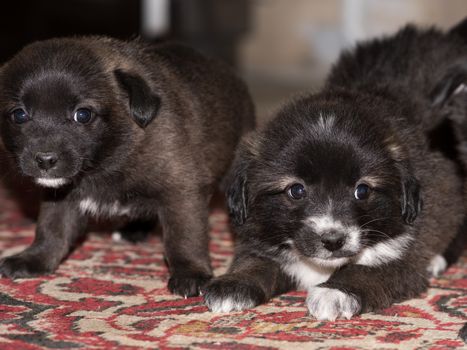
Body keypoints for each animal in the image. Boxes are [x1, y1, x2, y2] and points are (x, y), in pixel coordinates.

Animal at [0, 37, 256, 296]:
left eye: (83, 115)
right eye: (19, 115)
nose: (45, 159)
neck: (107, 160)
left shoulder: (181, 191)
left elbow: (184, 237)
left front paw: (191, 273)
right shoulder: (60, 196)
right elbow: (51, 230)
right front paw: (35, 259)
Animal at [204, 20, 467, 318]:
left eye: (362, 191)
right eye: (296, 190)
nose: (332, 241)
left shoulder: (401, 258)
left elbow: (365, 271)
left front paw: (335, 292)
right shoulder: (261, 239)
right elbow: (255, 261)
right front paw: (233, 284)